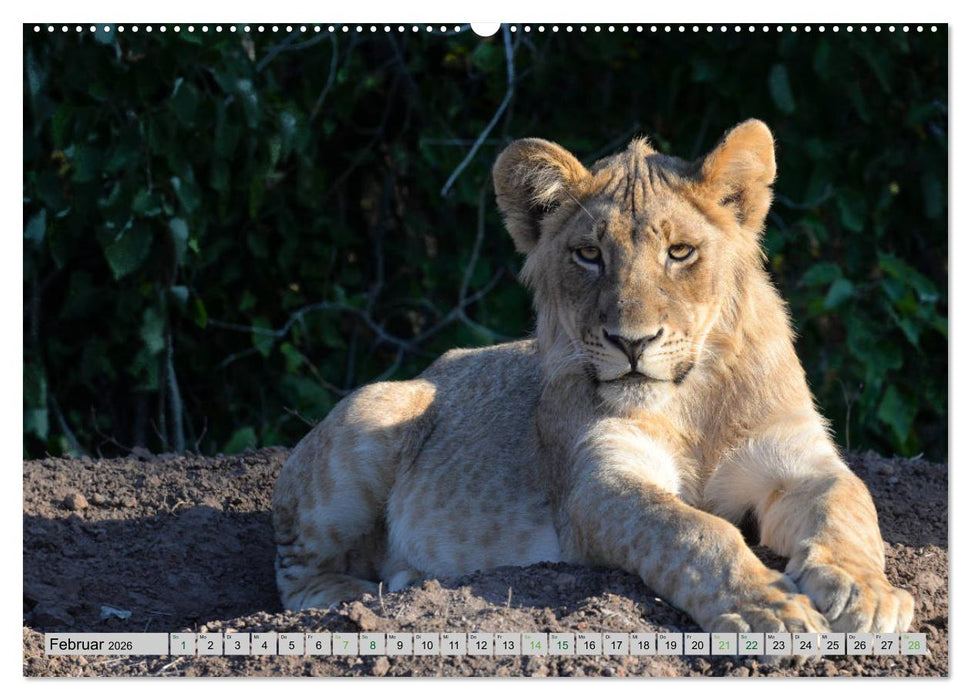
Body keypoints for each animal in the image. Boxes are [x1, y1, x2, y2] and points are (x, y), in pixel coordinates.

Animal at [272, 120, 914, 635]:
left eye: (680, 252)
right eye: (588, 255)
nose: (632, 342)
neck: (692, 401)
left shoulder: (799, 458)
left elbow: (850, 505)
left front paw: (865, 594)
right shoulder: (596, 481)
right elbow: (693, 531)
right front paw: (767, 608)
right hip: (368, 418)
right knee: (293, 573)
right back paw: (372, 593)